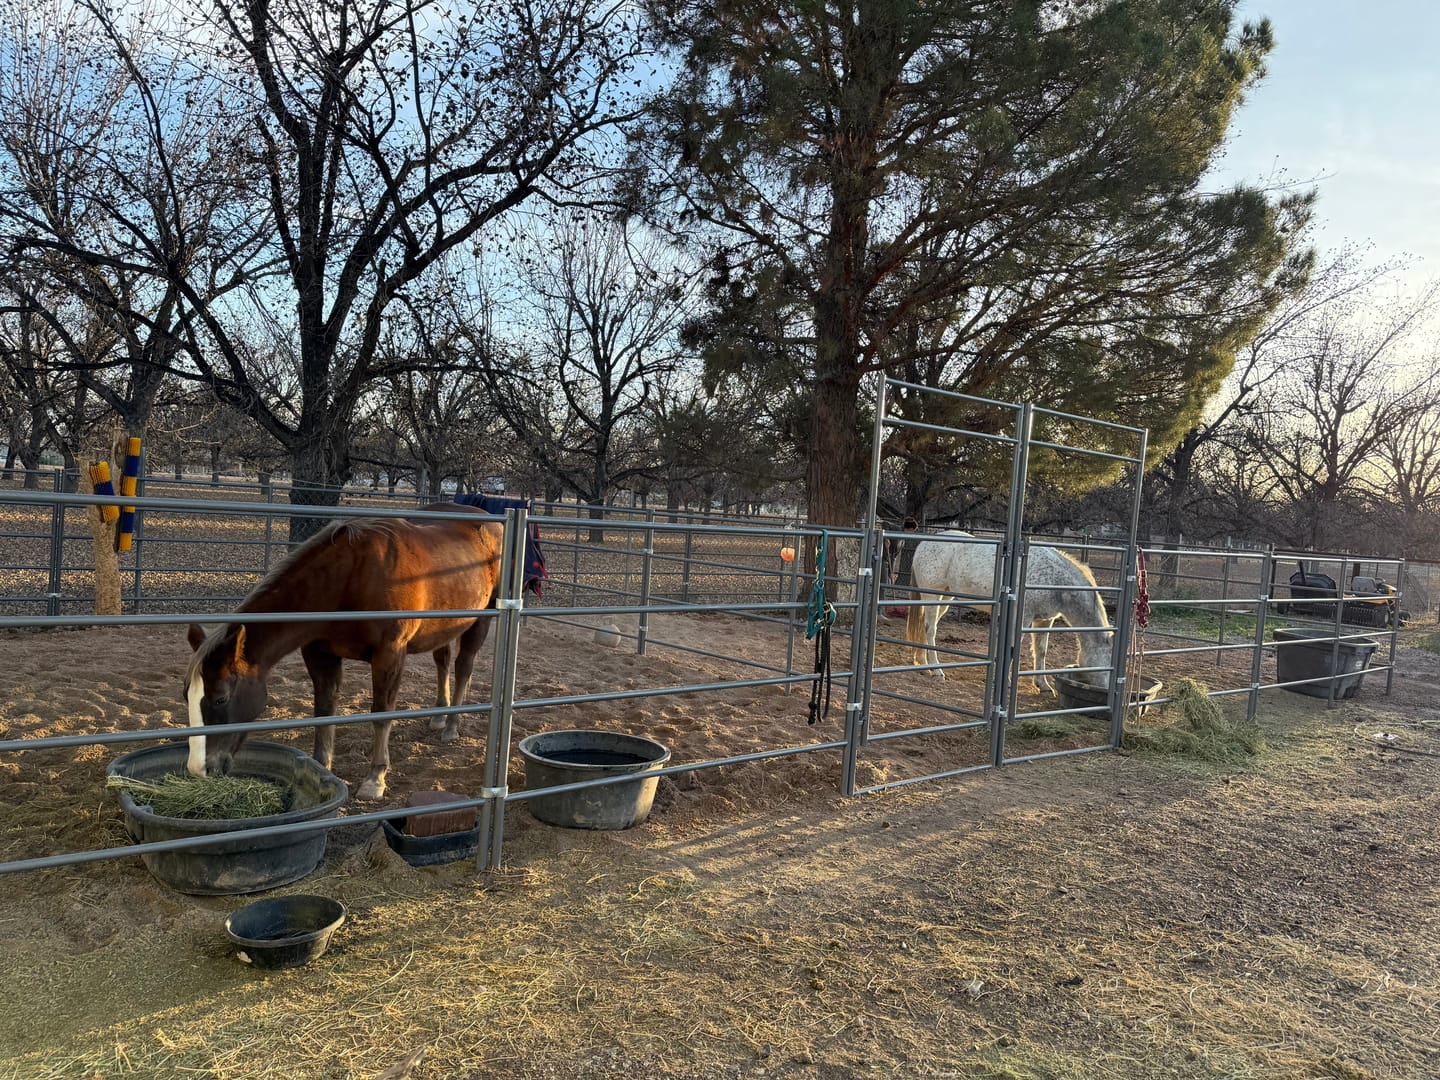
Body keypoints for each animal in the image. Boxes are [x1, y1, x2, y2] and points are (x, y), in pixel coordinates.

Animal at [183, 503, 504, 800]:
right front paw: (321, 767)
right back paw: (439, 715)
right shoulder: (319, 653)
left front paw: (376, 778)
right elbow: (324, 710)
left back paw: (451, 725)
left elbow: (381, 713)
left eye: (220, 698)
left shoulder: (389, 654)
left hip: (481, 620)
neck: (349, 577)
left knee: (464, 667)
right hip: (444, 626)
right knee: (443, 660)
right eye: (186, 695)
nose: (199, 770)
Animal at [904, 530, 1113, 693]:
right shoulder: (1022, 618)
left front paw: (1043, 685)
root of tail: (923, 544)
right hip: (933, 596)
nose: (1106, 690)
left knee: (926, 627)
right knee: (930, 629)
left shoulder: (1044, 621)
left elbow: (1041, 651)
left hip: (945, 598)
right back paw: (936, 670)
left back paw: (922, 663)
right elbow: (1012, 650)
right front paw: (1008, 683)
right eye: (1108, 662)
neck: (1055, 580)